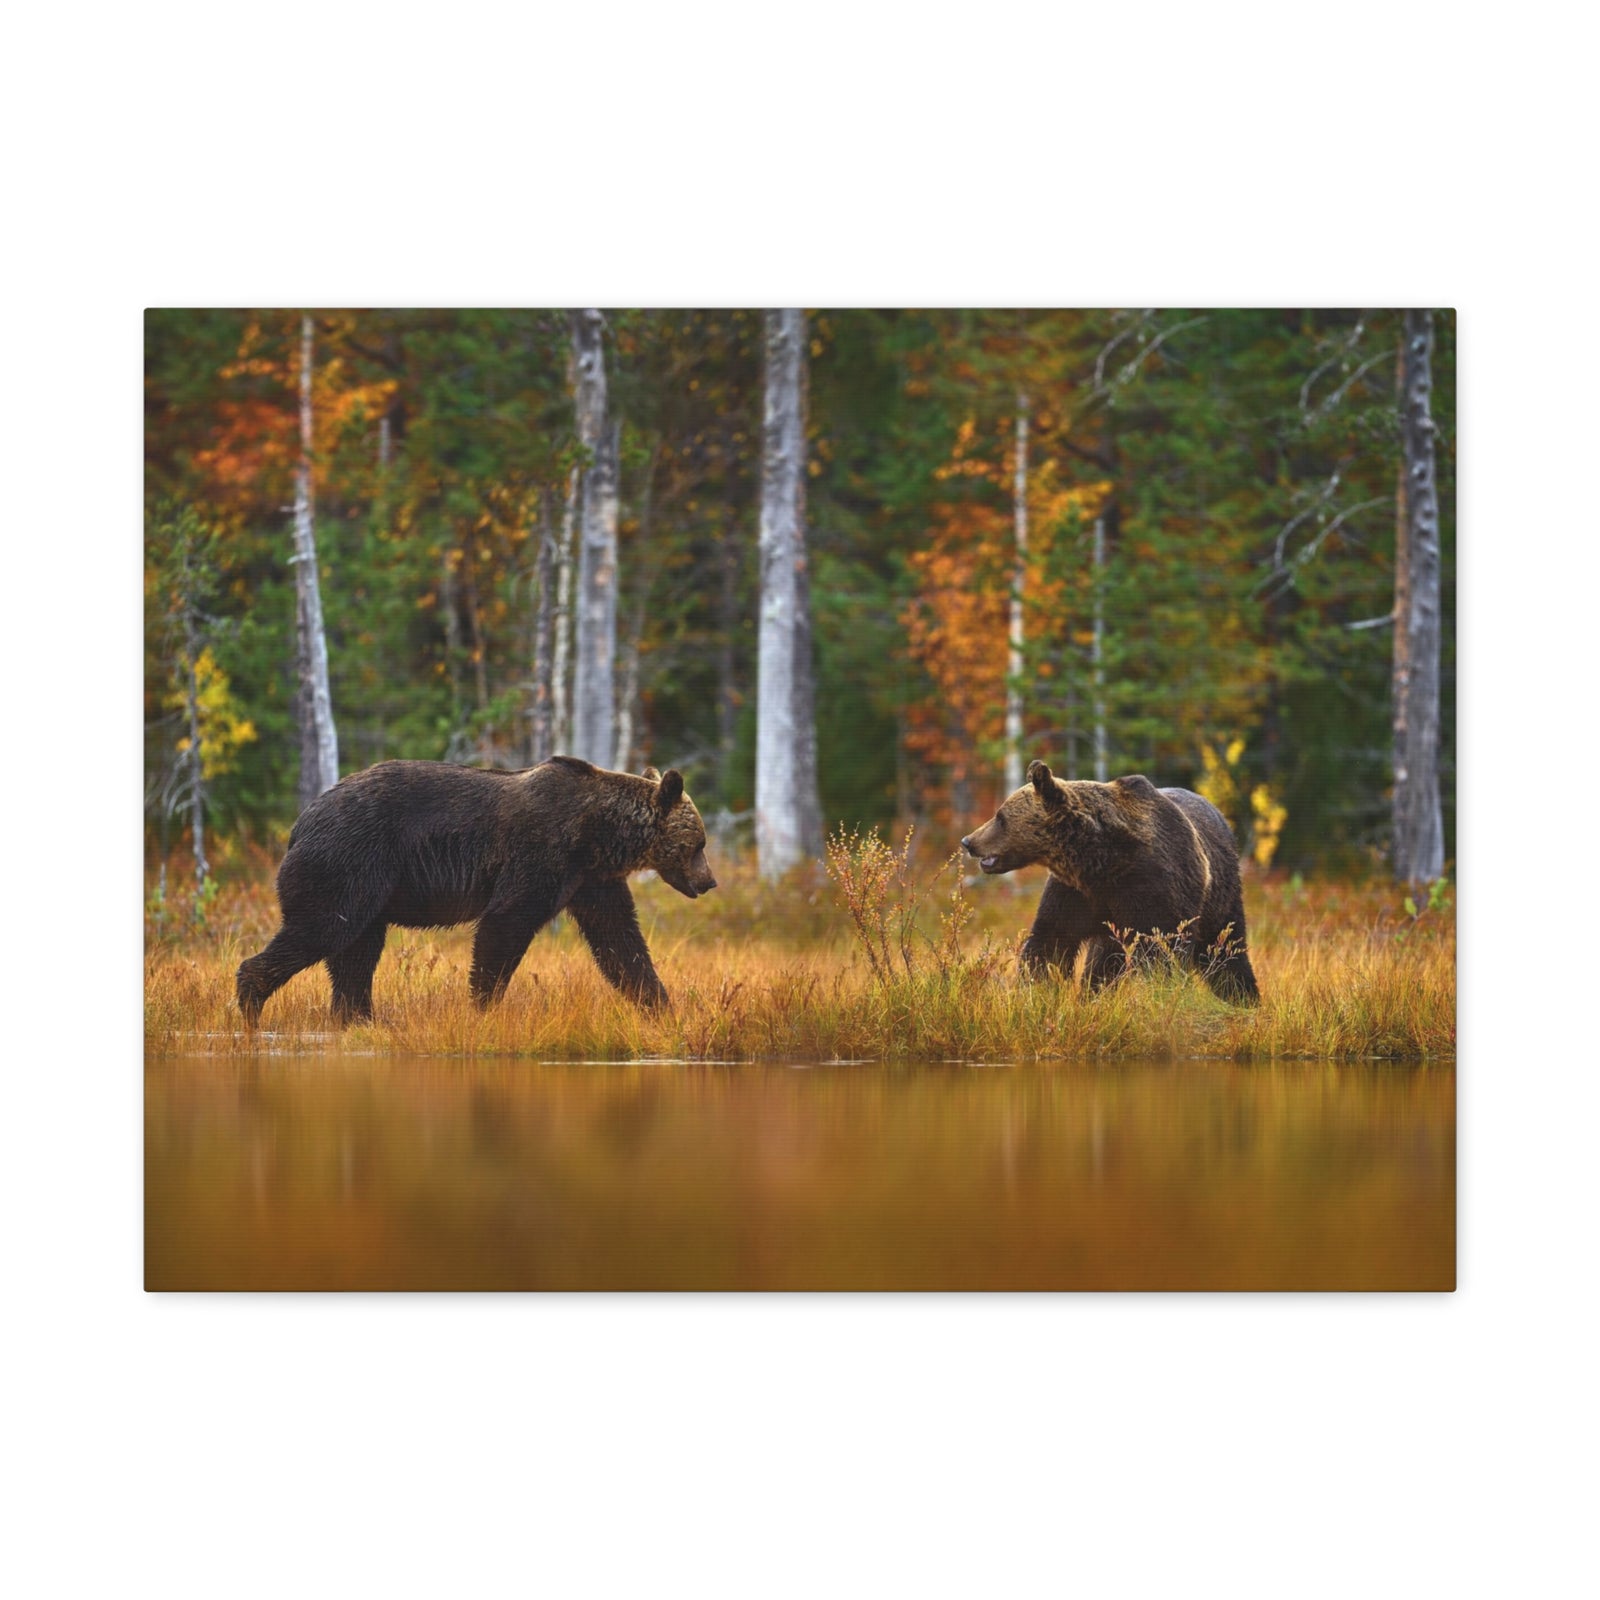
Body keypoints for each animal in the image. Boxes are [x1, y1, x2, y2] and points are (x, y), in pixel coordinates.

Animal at [236, 755, 716, 1026]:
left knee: (356, 953)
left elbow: (620, 941)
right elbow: (504, 925)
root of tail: (300, 821)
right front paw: (483, 1006)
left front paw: (661, 1006)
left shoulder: (590, 880)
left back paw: (359, 1018)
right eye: (699, 843)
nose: (709, 881)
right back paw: (251, 1003)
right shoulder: (541, 854)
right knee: (322, 929)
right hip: (349, 861)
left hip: (368, 888)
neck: (598, 834)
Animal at [960, 760, 1259, 1003]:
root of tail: (1218, 813)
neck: (1101, 862)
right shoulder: (1076, 893)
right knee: (1103, 960)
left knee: (1226, 948)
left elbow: (1161, 950)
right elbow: (1052, 940)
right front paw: (1035, 988)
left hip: (1221, 894)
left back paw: (1243, 997)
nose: (968, 841)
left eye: (1000, 817)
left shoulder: (1153, 888)